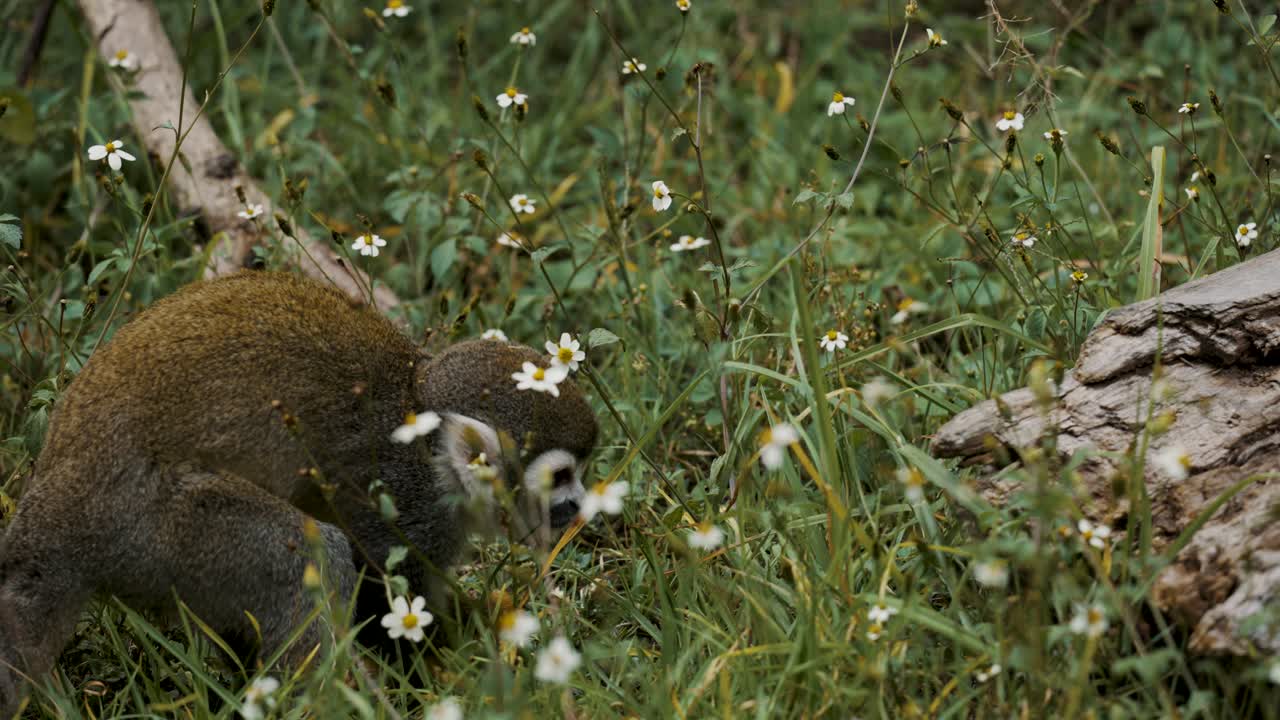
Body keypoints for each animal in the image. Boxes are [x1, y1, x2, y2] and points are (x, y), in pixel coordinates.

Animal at [0, 271, 598, 713]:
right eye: (561, 478)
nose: (579, 511)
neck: (428, 440)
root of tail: (49, 522)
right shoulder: (406, 504)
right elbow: (385, 596)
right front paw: (446, 675)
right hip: (152, 526)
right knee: (309, 556)